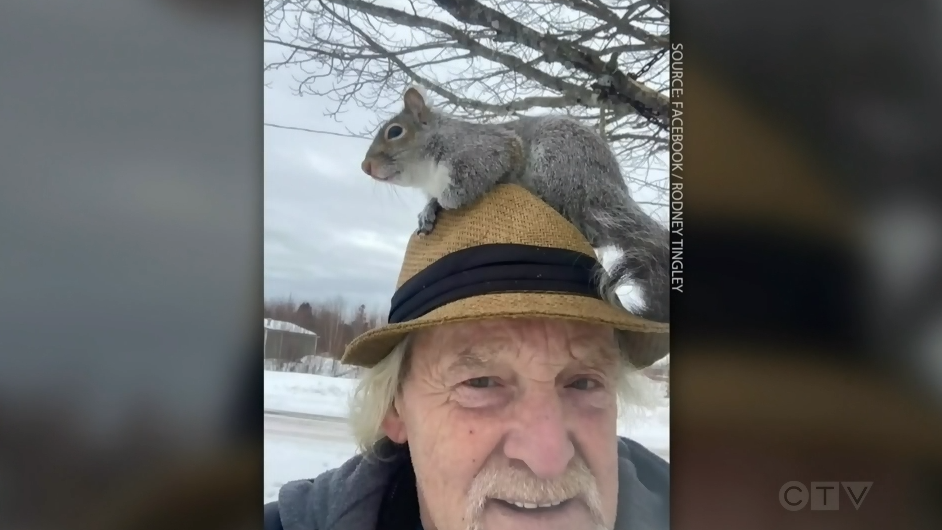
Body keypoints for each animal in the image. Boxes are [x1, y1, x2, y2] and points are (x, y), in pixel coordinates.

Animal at [362, 85, 672, 322]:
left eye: (395, 132)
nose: (365, 167)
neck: (427, 174)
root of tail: (609, 190)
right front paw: (427, 211)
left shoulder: (485, 150)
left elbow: (464, 188)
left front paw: (446, 202)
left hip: (557, 163)